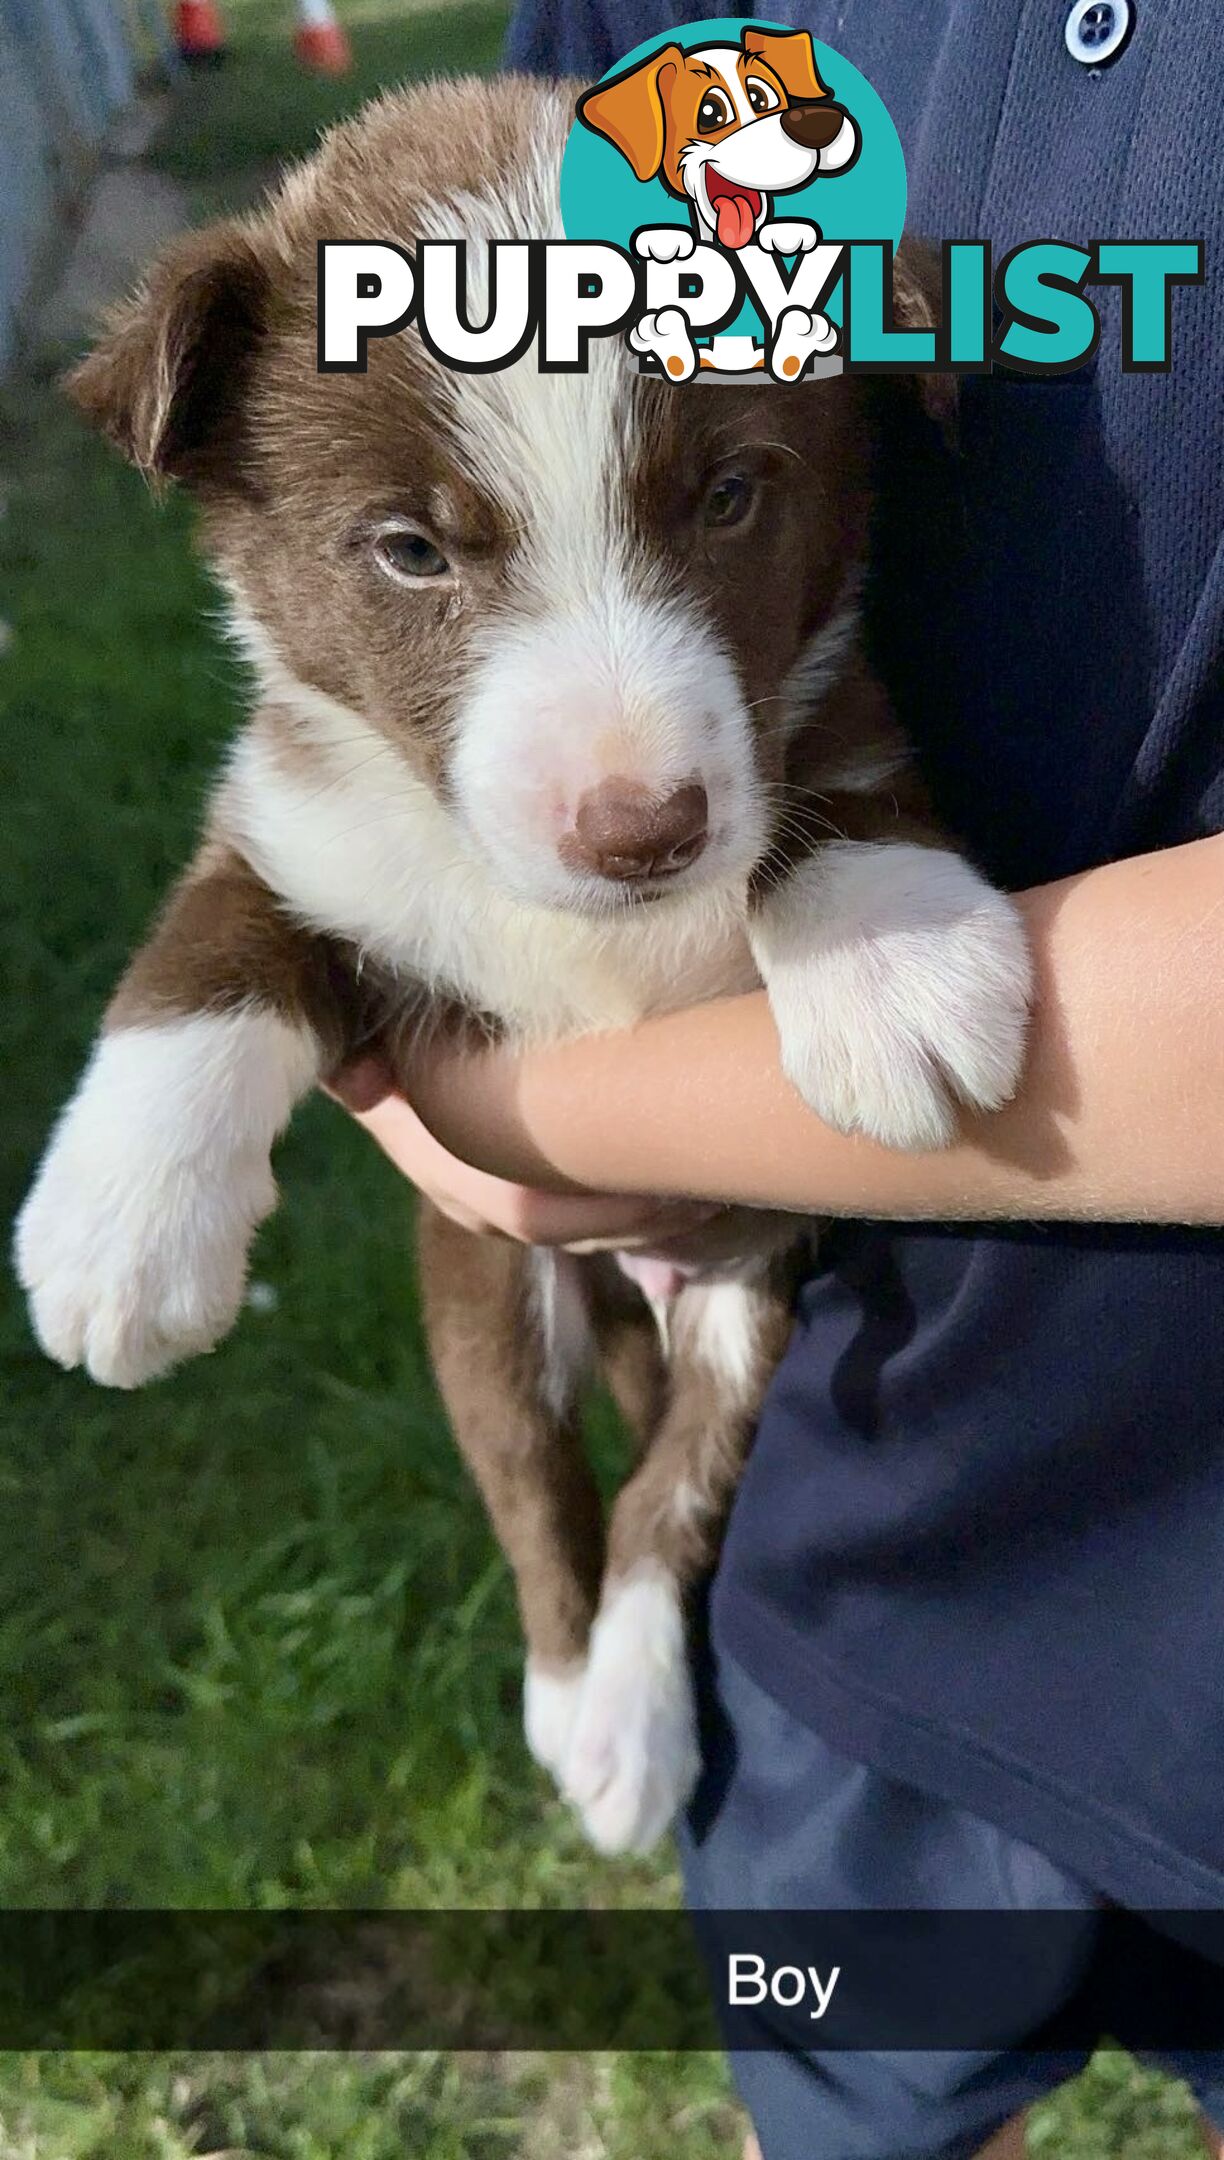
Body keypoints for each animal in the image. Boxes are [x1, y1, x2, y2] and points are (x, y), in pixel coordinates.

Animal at [12, 76, 1036, 1848]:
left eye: (730, 496)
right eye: (411, 552)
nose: (640, 829)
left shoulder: (821, 706)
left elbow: (837, 776)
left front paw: (896, 965)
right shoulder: (300, 821)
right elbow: (211, 941)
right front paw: (119, 1233)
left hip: (747, 1297)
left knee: (670, 1497)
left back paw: (630, 1720)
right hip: (486, 1285)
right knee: (538, 1492)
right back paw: (577, 1703)